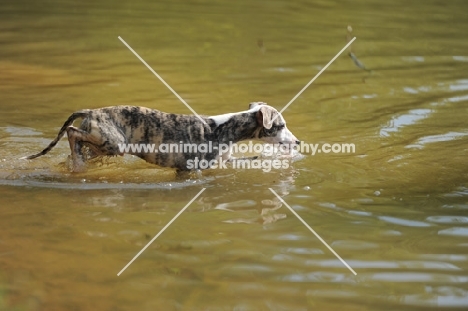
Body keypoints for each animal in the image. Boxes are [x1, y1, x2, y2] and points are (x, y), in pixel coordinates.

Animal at [22, 103, 300, 173]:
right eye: (281, 125)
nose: (298, 142)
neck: (222, 128)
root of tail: (91, 111)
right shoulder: (188, 169)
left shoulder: (222, 161)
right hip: (113, 143)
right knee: (71, 132)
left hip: (100, 147)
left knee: (77, 142)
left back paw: (76, 163)